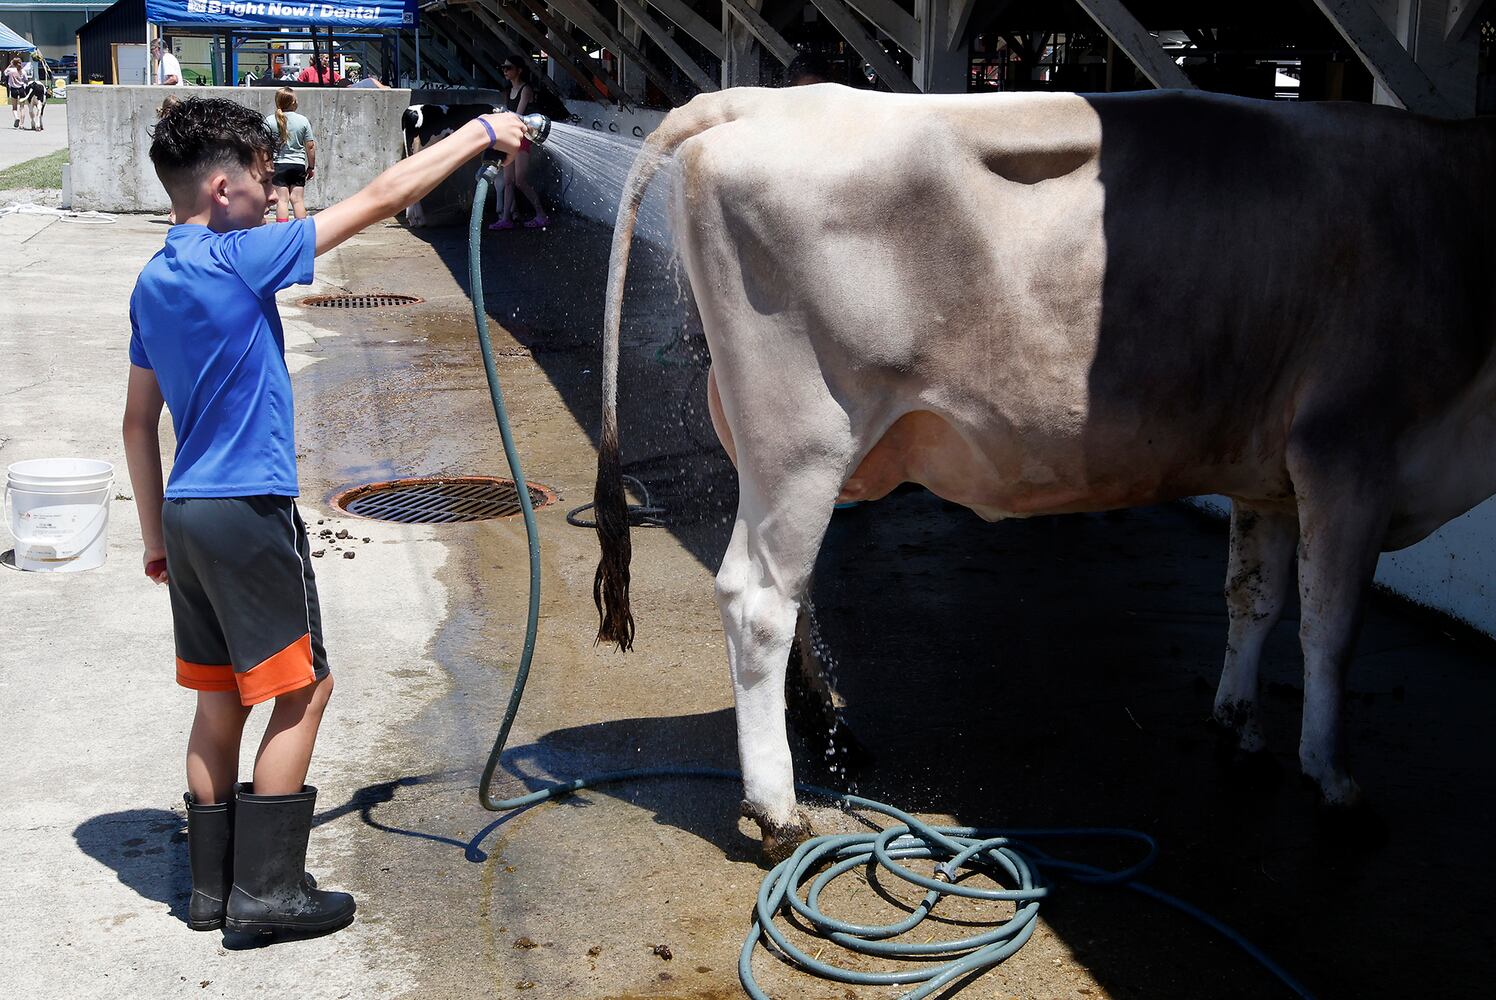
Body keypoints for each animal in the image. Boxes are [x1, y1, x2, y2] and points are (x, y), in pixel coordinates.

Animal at [589, 81, 1496, 856]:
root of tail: (754, 98)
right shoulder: (1349, 448)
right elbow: (1332, 631)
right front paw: (1336, 783)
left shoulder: (1266, 471)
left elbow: (1256, 600)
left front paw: (1239, 727)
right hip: (804, 432)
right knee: (758, 598)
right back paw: (778, 810)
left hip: (773, 444)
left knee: (795, 580)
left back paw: (828, 723)